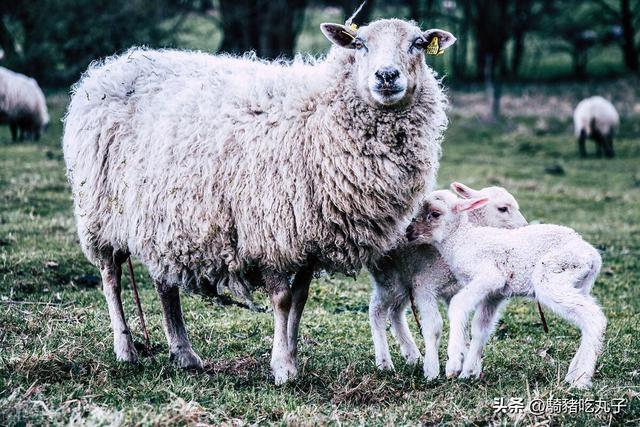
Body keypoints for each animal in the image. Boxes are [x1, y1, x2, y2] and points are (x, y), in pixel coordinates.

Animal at [368, 182, 528, 380]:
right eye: (503, 209)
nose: (525, 227)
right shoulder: (425, 284)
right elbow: (434, 326)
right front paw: (432, 370)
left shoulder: (453, 289)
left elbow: (462, 325)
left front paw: (464, 363)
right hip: (390, 277)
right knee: (377, 310)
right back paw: (384, 362)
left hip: (406, 279)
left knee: (395, 312)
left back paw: (413, 355)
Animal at [408, 191, 608, 392]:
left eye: (435, 213)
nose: (409, 232)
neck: (461, 239)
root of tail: (593, 256)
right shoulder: (493, 294)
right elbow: (480, 328)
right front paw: (469, 372)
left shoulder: (490, 275)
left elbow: (458, 304)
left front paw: (454, 365)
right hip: (577, 284)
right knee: (587, 319)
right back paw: (573, 374)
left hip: (553, 274)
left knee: (593, 317)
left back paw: (581, 380)